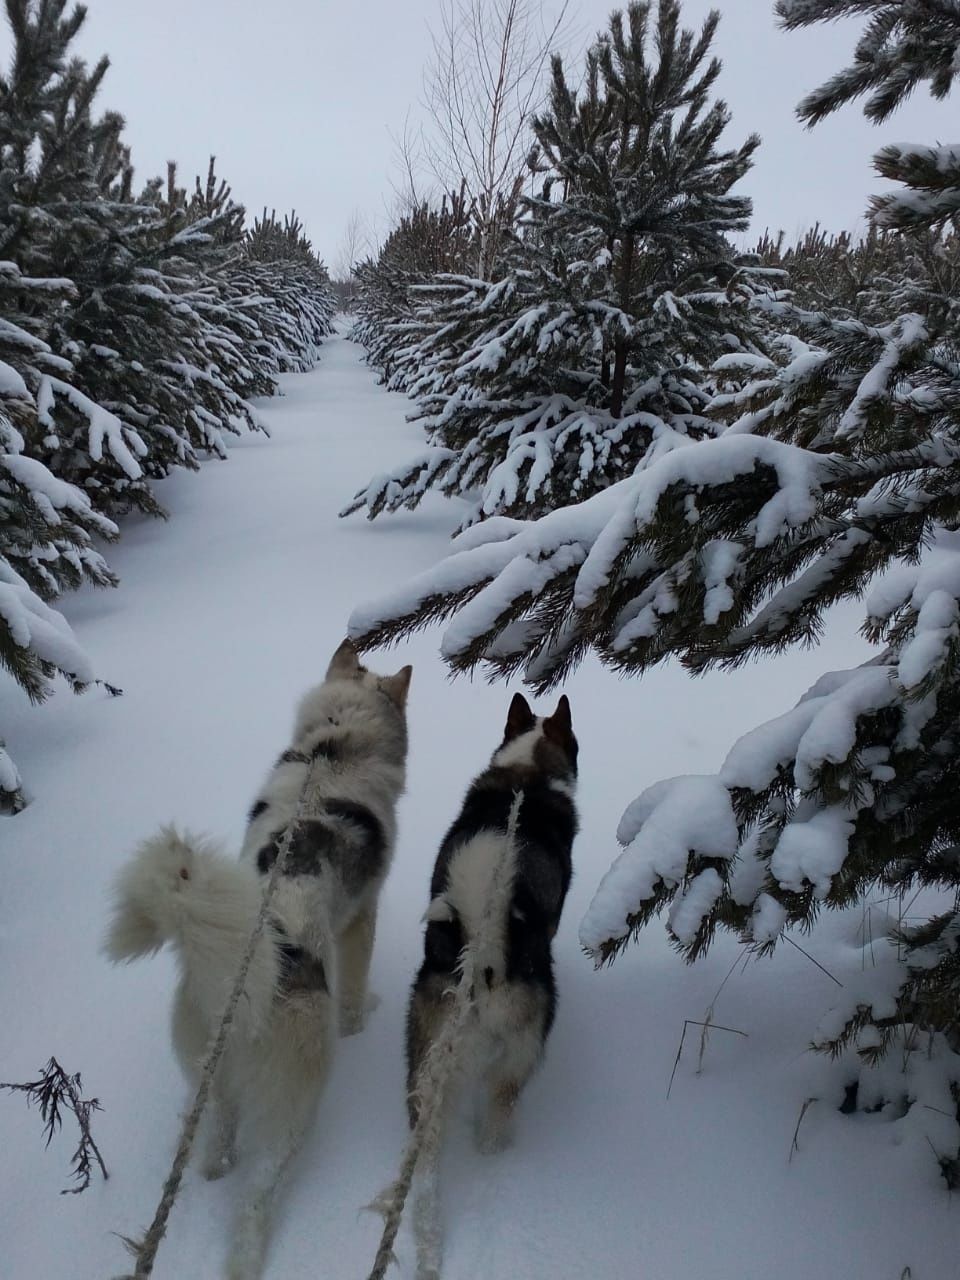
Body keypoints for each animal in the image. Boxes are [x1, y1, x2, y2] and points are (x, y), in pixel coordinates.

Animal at [106, 640, 414, 1280]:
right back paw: (247, 1256)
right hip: (291, 1109)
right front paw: (361, 1020)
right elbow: (357, 990)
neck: (332, 751)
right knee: (258, 1192)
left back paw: (211, 1172)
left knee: (215, 1143)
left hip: (211, 1081)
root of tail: (238, 980)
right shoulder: (363, 918)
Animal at [407, 696, 578, 1274]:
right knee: (498, 1109)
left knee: (426, 1157)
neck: (525, 777)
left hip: (424, 1053)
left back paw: (428, 1238)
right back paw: (494, 1153)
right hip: (525, 1043)